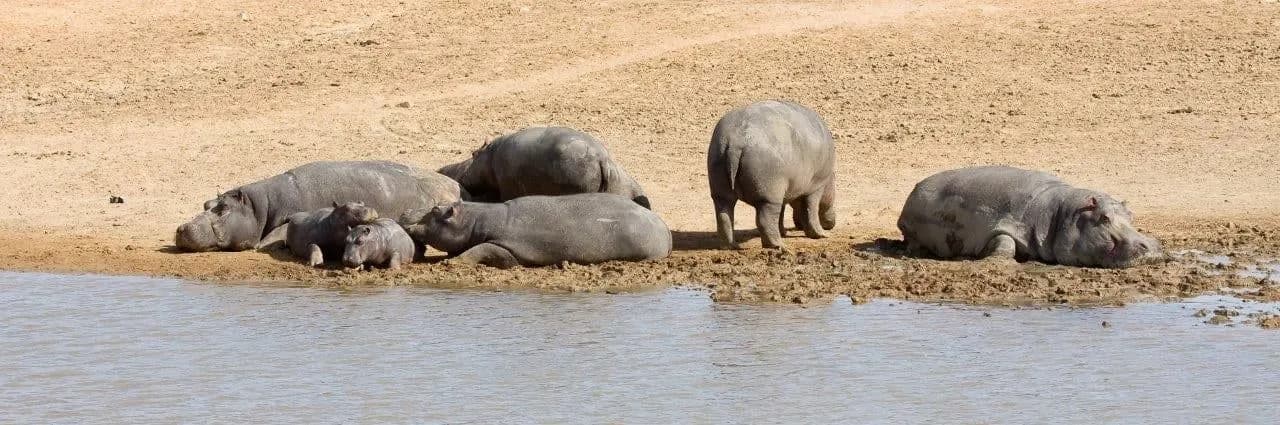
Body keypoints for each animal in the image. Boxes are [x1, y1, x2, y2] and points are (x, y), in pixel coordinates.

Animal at [401, 193, 671, 268]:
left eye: (435, 210)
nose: (405, 214)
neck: (474, 220)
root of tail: (663, 225)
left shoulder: (505, 244)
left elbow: (480, 249)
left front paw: (451, 263)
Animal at [707, 100, 837, 249]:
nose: (832, 224)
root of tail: (736, 140)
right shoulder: (815, 187)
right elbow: (811, 210)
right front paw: (822, 235)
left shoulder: (785, 192)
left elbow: (782, 213)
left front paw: (784, 232)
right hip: (769, 195)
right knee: (764, 220)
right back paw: (779, 246)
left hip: (720, 183)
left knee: (724, 216)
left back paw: (730, 246)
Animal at [896, 165, 1162, 268]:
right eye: (1104, 218)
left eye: (1131, 214)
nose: (1151, 246)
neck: (1061, 213)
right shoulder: (1007, 221)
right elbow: (1004, 243)